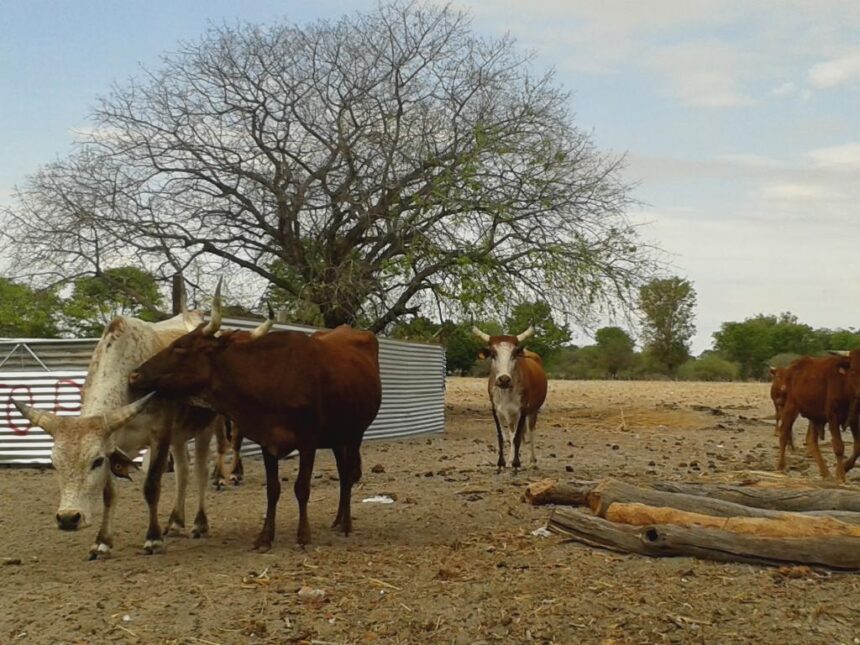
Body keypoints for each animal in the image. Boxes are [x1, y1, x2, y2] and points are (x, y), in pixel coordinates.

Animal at [11, 310, 264, 556]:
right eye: (55, 464)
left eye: (96, 461)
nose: (68, 518)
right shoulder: (116, 445)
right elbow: (109, 493)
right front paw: (102, 542)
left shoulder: (159, 436)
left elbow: (151, 486)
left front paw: (153, 539)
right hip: (179, 435)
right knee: (182, 471)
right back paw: (175, 522)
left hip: (206, 427)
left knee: (201, 470)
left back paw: (199, 523)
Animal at [127, 290, 380, 548]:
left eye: (180, 347)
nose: (134, 375)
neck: (273, 377)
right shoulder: (268, 442)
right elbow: (273, 489)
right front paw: (265, 536)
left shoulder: (308, 443)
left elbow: (302, 488)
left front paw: (303, 535)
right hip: (338, 437)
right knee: (343, 472)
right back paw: (338, 520)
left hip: (355, 434)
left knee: (347, 475)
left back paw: (346, 524)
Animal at [474, 324, 548, 470]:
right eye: (493, 354)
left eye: (514, 354)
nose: (504, 379)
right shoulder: (496, 409)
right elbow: (503, 436)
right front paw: (502, 462)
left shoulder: (523, 409)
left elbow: (517, 437)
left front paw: (516, 462)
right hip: (511, 415)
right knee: (512, 432)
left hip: (533, 411)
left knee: (530, 432)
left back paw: (532, 460)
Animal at [776, 352, 856, 484]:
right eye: (854, 369)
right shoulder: (832, 416)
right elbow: (839, 446)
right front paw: (841, 476)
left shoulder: (855, 420)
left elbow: (858, 446)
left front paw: (844, 468)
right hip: (790, 407)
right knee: (784, 433)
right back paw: (780, 467)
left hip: (814, 418)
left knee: (811, 440)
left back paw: (826, 474)